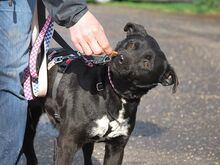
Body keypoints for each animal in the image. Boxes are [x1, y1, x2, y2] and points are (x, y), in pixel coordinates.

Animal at [22, 22, 179, 164]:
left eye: (147, 63)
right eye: (130, 45)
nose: (121, 58)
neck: (113, 94)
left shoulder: (117, 147)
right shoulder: (66, 143)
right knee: (26, 143)